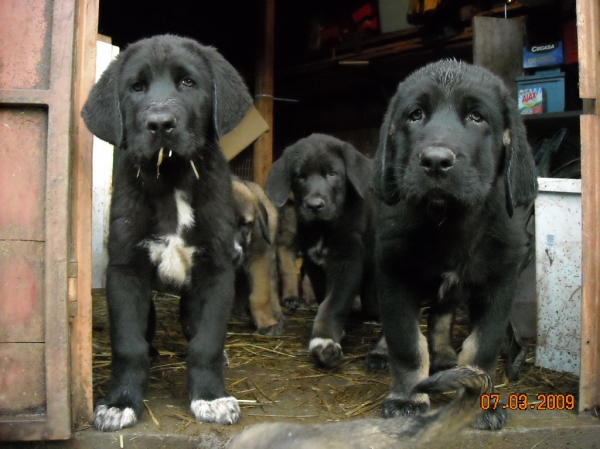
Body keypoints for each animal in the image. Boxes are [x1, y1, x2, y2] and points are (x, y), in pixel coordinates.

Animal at [81, 34, 251, 428]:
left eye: (188, 82)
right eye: (136, 87)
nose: (160, 124)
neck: (172, 179)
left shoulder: (216, 271)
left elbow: (206, 342)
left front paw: (211, 397)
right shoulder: (125, 271)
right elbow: (128, 344)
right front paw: (120, 402)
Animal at [264, 134, 378, 368]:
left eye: (332, 174)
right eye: (299, 176)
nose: (315, 205)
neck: (323, 228)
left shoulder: (347, 262)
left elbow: (334, 303)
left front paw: (324, 340)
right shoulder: (313, 264)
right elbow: (324, 296)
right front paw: (332, 334)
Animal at [372, 58, 536, 428]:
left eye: (477, 116)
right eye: (415, 115)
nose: (435, 161)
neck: (448, 221)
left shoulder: (499, 283)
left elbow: (482, 348)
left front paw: (480, 400)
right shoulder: (392, 273)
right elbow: (405, 342)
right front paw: (407, 397)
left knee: (441, 317)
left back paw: (446, 356)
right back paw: (380, 352)